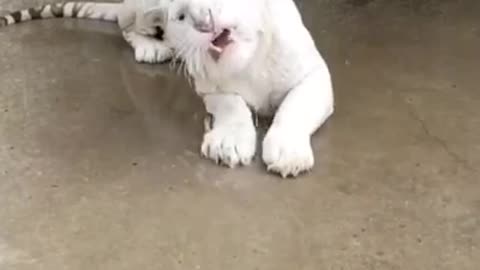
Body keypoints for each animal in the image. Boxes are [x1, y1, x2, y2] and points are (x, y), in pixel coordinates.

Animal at [165, 0, 334, 177]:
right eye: (181, 16)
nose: (204, 23)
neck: (248, 64)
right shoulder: (209, 88)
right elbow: (231, 104)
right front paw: (228, 142)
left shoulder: (314, 73)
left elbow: (296, 106)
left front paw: (288, 152)